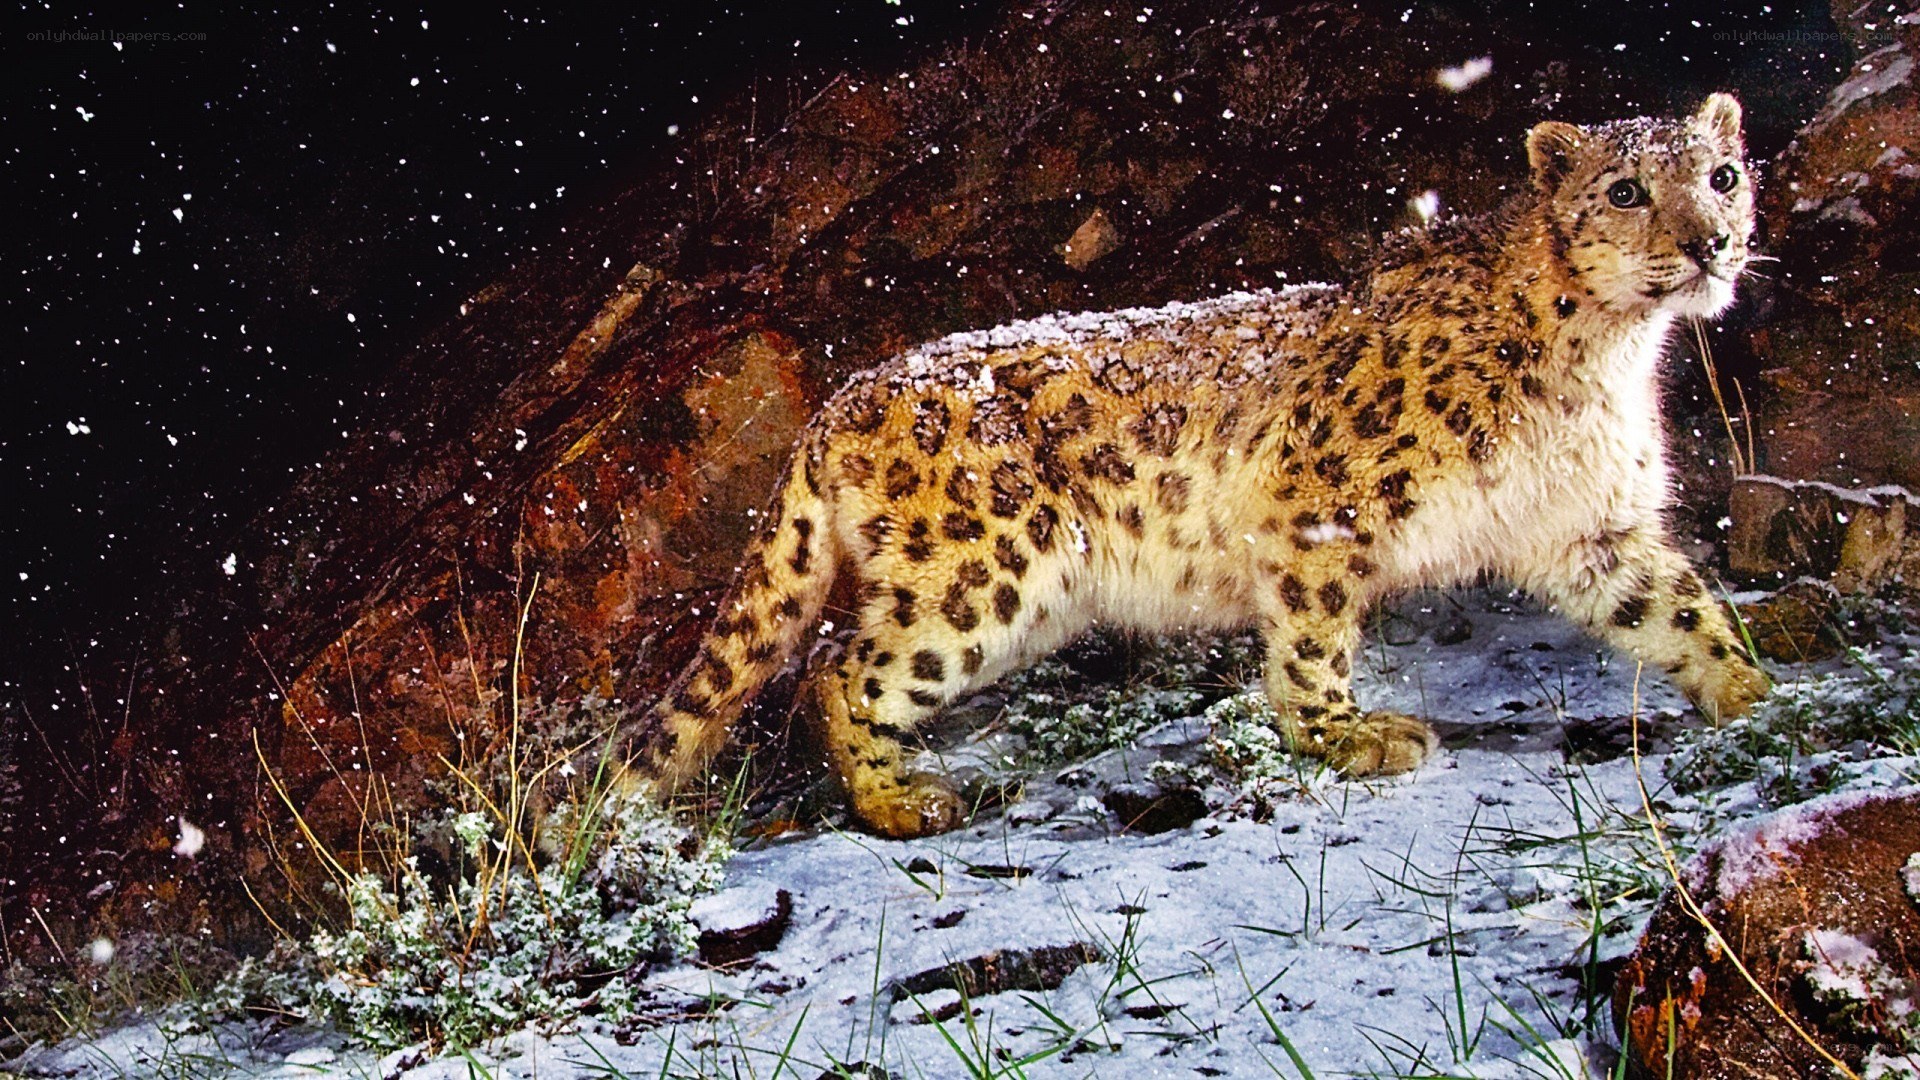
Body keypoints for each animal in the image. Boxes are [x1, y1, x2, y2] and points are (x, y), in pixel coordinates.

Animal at [608, 93, 1771, 839]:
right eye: (1626, 190)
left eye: (1722, 176)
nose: (1709, 241)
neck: (1609, 359)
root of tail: (842, 396)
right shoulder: (1322, 505)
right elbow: (1310, 639)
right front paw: (1345, 736)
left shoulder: (1588, 527)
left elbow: (1679, 608)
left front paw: (1758, 696)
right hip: (983, 577)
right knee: (837, 670)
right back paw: (904, 802)